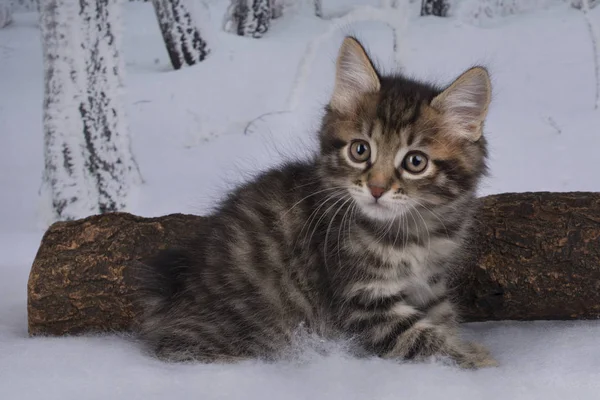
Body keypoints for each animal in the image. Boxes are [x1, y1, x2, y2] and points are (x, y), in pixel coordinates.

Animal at [136, 37, 496, 368]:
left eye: (415, 162)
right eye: (360, 150)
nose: (376, 188)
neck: (414, 231)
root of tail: (175, 297)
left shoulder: (430, 285)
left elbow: (444, 320)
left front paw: (466, 346)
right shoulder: (363, 302)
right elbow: (424, 341)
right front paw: (478, 359)